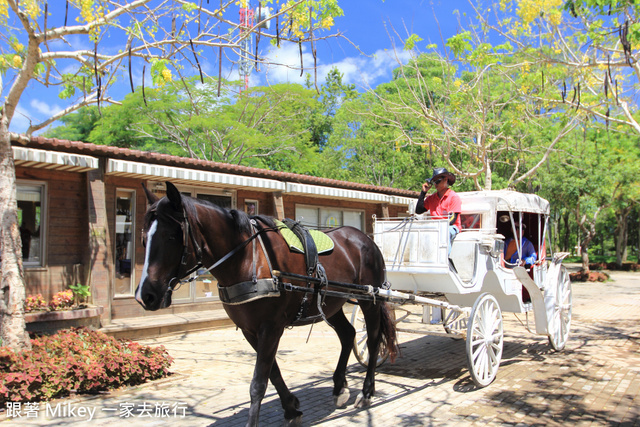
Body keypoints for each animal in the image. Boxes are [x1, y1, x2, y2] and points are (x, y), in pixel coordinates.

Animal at [135, 182, 396, 426]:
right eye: (144, 238)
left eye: (172, 236)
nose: (145, 295)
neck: (248, 259)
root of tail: (365, 239)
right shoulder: (250, 330)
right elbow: (273, 372)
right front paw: (291, 408)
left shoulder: (271, 327)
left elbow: (258, 383)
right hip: (332, 303)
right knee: (348, 334)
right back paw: (340, 387)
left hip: (370, 301)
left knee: (373, 340)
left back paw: (367, 391)